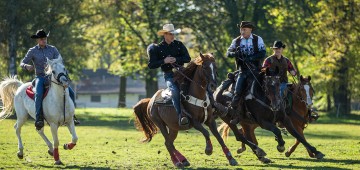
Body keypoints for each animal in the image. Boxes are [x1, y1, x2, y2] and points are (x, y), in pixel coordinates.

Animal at [134, 53, 266, 168]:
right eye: (204, 67)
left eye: (215, 67)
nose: (213, 85)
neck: (198, 96)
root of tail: (151, 100)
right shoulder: (194, 122)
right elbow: (206, 133)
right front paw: (208, 149)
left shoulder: (210, 120)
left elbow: (218, 137)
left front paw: (231, 158)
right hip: (160, 123)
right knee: (169, 143)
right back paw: (178, 163)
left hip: (173, 127)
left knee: (168, 143)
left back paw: (183, 160)